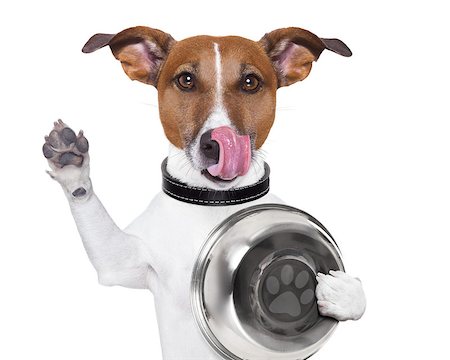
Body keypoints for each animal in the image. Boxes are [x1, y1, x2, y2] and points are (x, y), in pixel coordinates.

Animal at [42, 26, 366, 360]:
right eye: (186, 80)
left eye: (250, 82)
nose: (217, 143)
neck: (215, 202)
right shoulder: (121, 262)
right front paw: (71, 163)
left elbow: (359, 294)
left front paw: (342, 292)